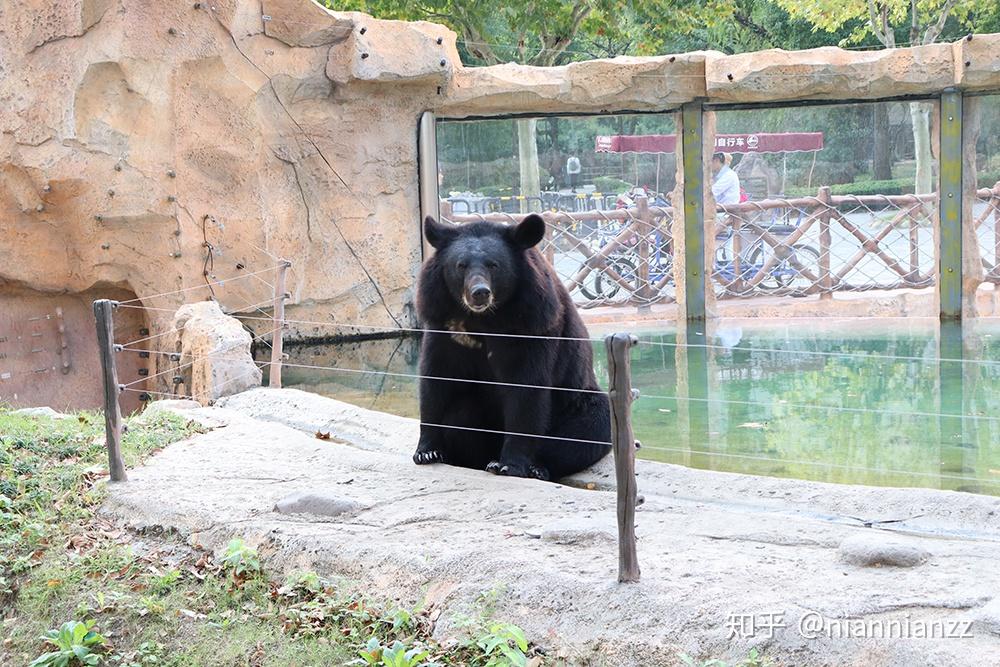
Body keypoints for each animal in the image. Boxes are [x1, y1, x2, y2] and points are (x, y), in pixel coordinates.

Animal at [410, 214, 612, 480]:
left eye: (493, 265)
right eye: (460, 265)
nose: (479, 293)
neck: (484, 319)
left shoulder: (532, 326)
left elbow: (525, 389)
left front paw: (509, 465)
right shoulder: (442, 324)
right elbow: (436, 379)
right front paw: (427, 452)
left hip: (579, 403)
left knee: (586, 432)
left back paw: (533, 467)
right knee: (460, 414)